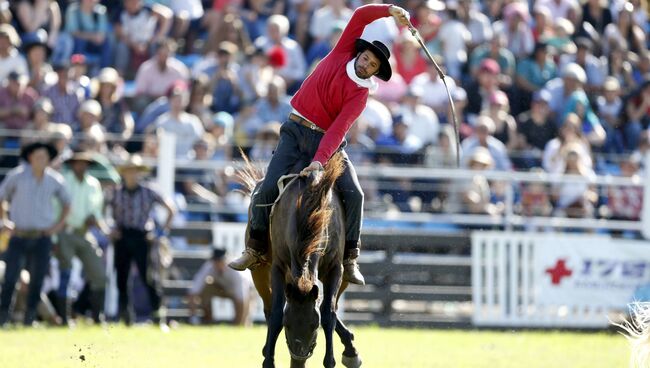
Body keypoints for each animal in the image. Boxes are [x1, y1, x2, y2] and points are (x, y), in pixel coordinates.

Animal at [237, 152, 360, 368]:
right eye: (287, 324)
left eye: (314, 324)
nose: (299, 357)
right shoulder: (278, 268)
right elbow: (277, 313)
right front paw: (268, 361)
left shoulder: (335, 269)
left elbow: (328, 313)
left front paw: (331, 360)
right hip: (259, 273)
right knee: (268, 308)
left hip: (343, 276)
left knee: (333, 306)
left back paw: (351, 350)